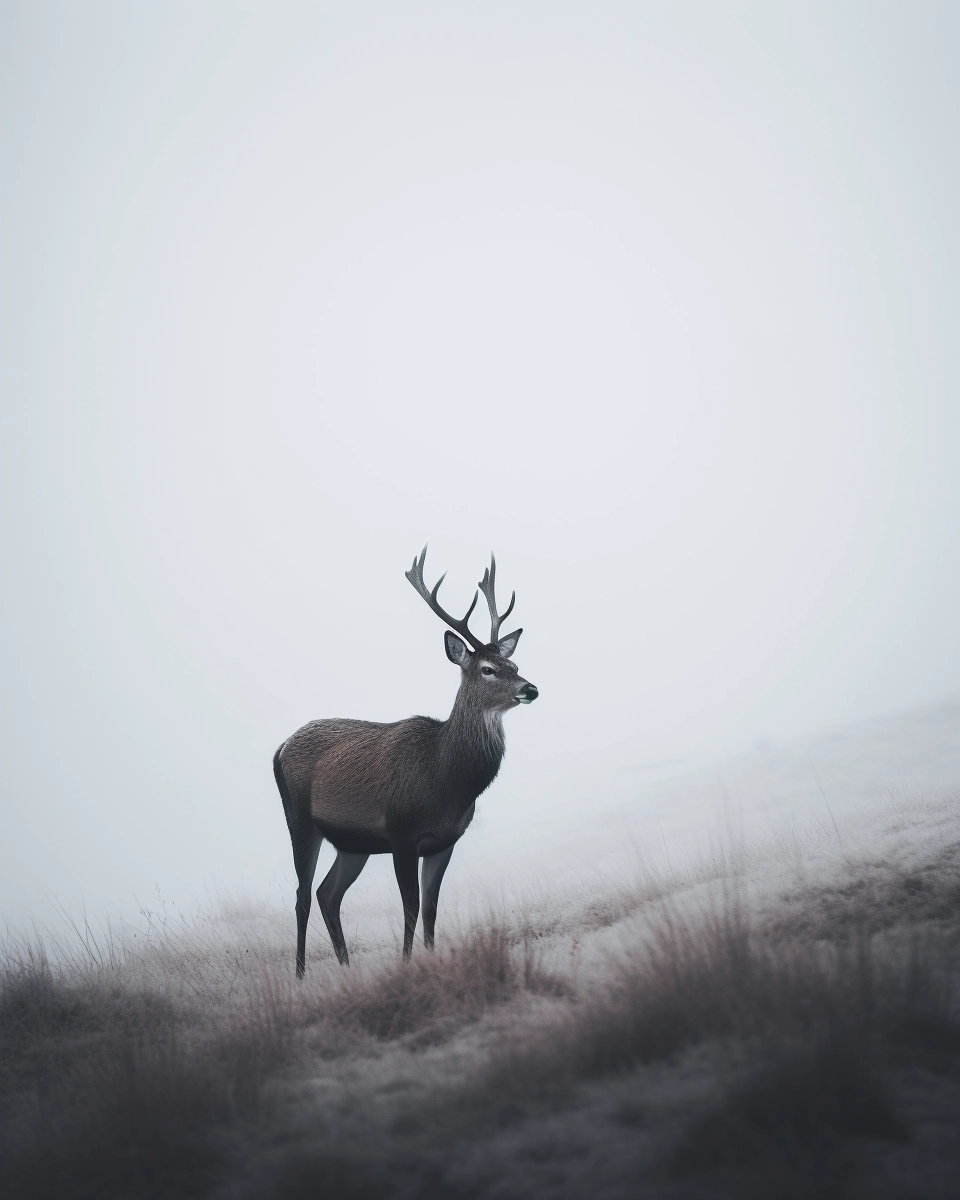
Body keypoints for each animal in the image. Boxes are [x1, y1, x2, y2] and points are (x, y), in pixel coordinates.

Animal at [273, 548, 538, 975]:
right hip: (299, 819)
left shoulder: (445, 840)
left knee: (327, 894)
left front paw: (430, 959)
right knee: (302, 895)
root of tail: (279, 747)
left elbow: (430, 908)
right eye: (487, 669)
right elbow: (410, 907)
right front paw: (408, 964)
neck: (447, 782)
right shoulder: (401, 833)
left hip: (353, 843)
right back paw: (299, 977)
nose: (531, 688)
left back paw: (347, 969)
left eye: (514, 665)